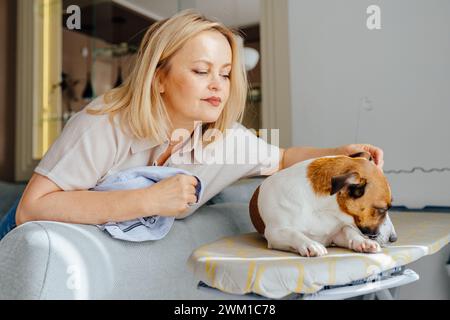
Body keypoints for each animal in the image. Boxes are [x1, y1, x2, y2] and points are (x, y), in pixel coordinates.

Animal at [250, 152, 398, 258]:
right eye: (382, 209)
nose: (394, 239)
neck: (322, 209)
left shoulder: (336, 234)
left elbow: (348, 231)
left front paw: (362, 241)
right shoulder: (275, 232)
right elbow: (293, 233)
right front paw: (309, 243)